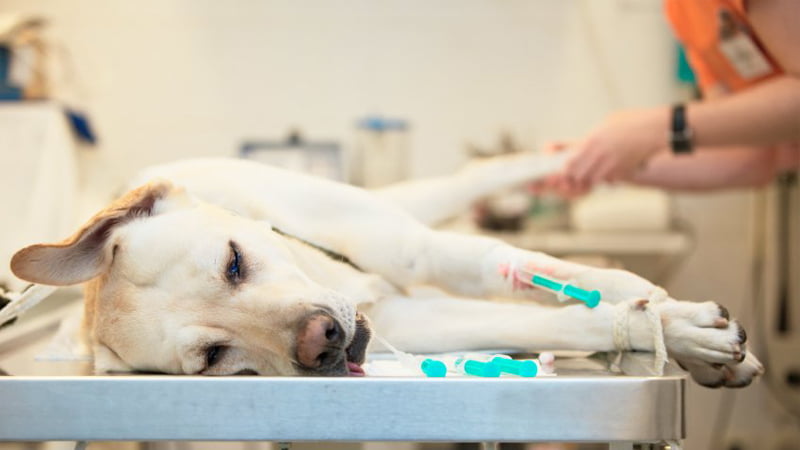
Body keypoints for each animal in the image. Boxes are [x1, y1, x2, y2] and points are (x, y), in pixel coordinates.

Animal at [10, 155, 764, 386]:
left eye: (233, 262)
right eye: (214, 356)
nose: (322, 343)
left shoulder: (431, 256)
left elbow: (570, 282)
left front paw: (678, 323)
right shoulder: (418, 318)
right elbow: (566, 321)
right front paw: (680, 335)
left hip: (409, 218)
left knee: (484, 175)